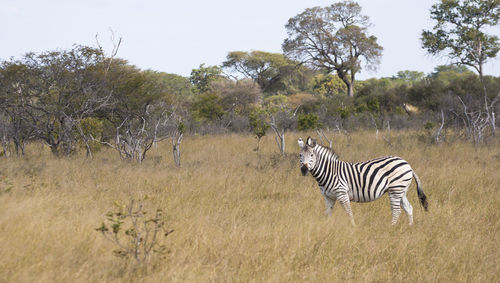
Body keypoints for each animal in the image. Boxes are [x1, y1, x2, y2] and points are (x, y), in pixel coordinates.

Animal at [298, 136, 428, 227]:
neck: (329, 171)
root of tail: (406, 163)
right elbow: (328, 213)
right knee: (408, 208)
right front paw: (328, 227)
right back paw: (410, 226)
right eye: (300, 155)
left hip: (395, 189)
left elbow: (349, 212)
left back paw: (392, 228)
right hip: (402, 190)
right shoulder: (328, 197)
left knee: (396, 211)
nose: (304, 169)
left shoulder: (342, 193)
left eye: (311, 155)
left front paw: (353, 227)